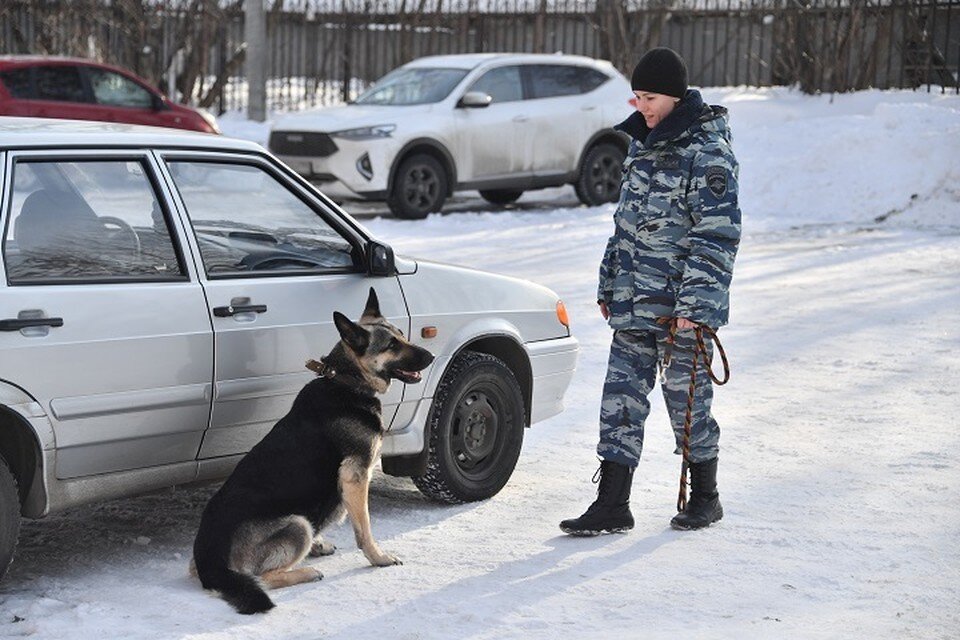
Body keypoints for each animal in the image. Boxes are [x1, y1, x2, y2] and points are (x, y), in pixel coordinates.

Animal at [193, 288, 434, 612]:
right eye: (392, 345)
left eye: (401, 335)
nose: (432, 355)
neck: (346, 380)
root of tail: (210, 562)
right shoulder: (356, 477)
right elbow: (365, 530)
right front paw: (378, 558)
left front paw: (322, 545)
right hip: (298, 524)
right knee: (263, 577)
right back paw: (305, 572)